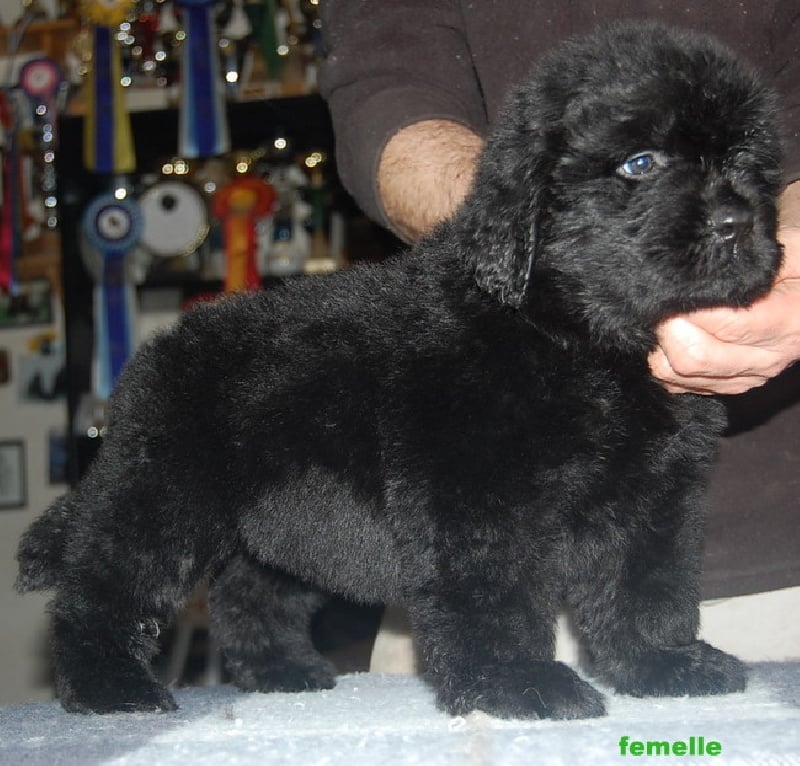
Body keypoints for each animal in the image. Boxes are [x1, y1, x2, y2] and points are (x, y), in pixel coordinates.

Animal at [17, 21, 784, 719]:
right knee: (103, 586)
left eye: (746, 159)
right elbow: (494, 590)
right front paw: (515, 682)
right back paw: (110, 688)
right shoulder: (475, 491)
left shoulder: (653, 492)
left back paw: (284, 672)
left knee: (249, 594)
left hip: (282, 523)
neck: (569, 336)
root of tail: (155, 352)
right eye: (640, 163)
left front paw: (663, 663)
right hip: (162, 495)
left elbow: (645, 582)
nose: (737, 223)